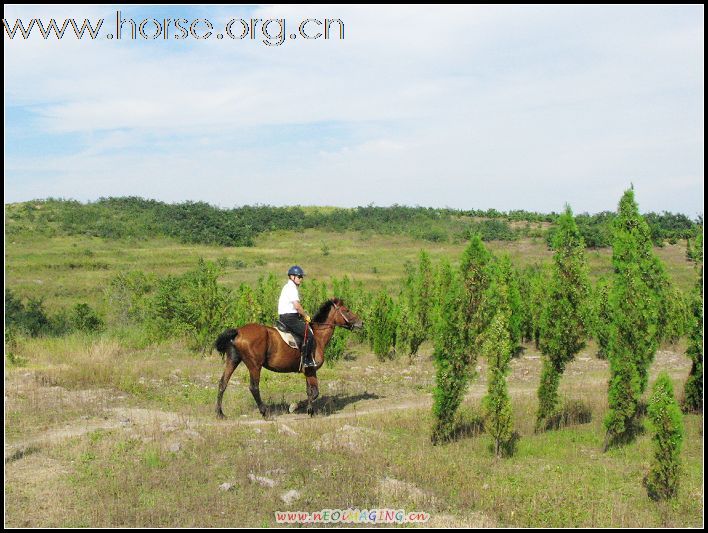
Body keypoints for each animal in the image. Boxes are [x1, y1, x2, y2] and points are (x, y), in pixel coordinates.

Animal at [213, 298, 362, 418]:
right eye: (346, 310)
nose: (361, 323)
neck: (318, 337)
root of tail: (238, 331)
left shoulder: (308, 370)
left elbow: (310, 391)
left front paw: (310, 411)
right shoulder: (311, 369)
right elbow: (315, 392)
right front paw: (295, 407)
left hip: (233, 360)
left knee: (223, 383)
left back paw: (220, 413)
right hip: (254, 365)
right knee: (253, 387)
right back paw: (264, 412)